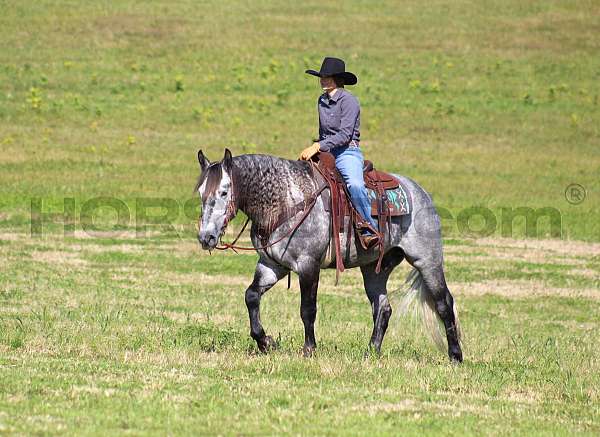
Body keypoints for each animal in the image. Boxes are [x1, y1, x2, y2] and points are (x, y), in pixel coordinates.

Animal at [197, 149, 464, 362]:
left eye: (224, 192)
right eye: (200, 192)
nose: (206, 237)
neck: (286, 201)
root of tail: (421, 193)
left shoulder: (308, 265)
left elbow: (307, 309)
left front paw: (309, 349)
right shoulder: (272, 265)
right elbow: (251, 296)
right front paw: (265, 342)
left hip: (427, 261)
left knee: (444, 303)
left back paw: (455, 356)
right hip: (374, 269)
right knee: (383, 308)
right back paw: (371, 352)